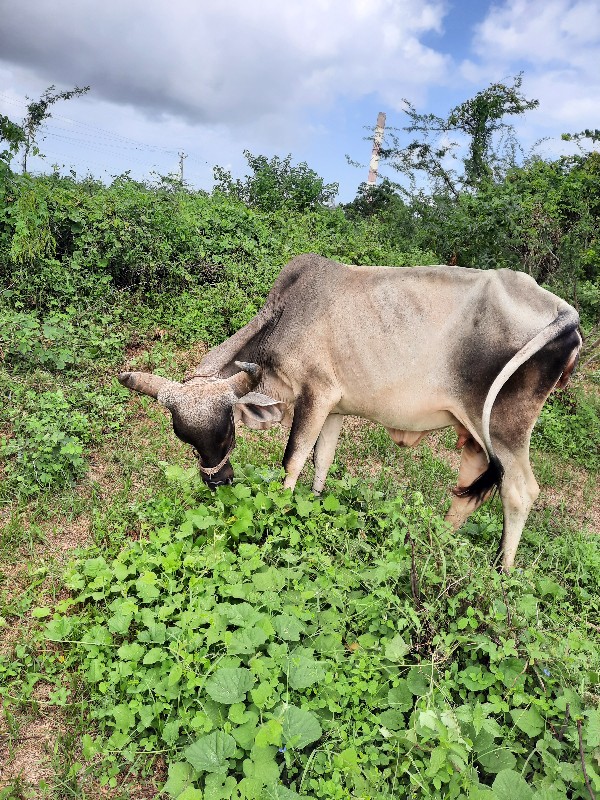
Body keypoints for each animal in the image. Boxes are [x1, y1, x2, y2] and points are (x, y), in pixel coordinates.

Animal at [119, 256, 584, 568]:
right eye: (185, 438)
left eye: (229, 431)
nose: (219, 482)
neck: (288, 314)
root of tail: (566, 313)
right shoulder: (336, 409)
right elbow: (323, 460)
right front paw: (313, 503)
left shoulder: (316, 396)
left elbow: (293, 460)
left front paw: (280, 512)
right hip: (473, 431)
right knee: (470, 487)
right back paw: (439, 539)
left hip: (507, 430)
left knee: (519, 492)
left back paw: (501, 572)